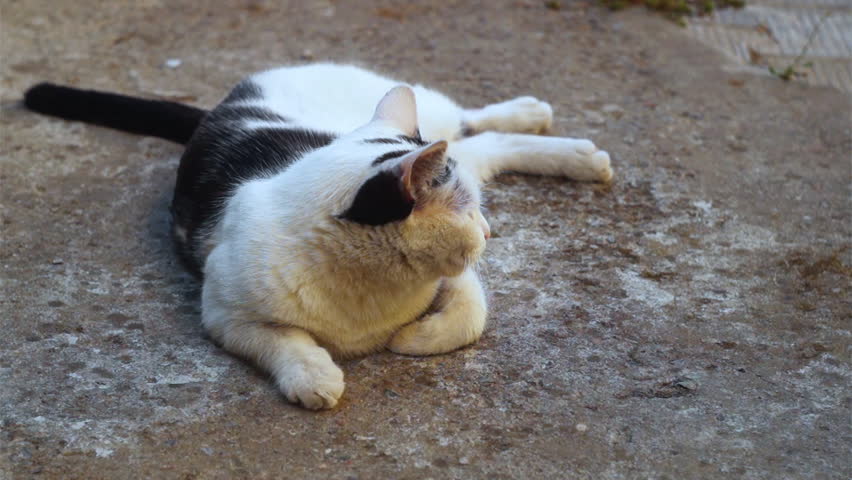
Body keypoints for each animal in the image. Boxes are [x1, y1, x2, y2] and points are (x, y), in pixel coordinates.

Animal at [25, 62, 612, 408]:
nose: (490, 230)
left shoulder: (459, 280)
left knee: (472, 123)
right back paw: (571, 148)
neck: (374, 289)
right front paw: (315, 376)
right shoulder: (222, 311)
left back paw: (545, 124)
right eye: (468, 212)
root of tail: (219, 107)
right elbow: (279, 339)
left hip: (426, 108)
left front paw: (412, 339)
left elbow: (471, 316)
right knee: (479, 143)